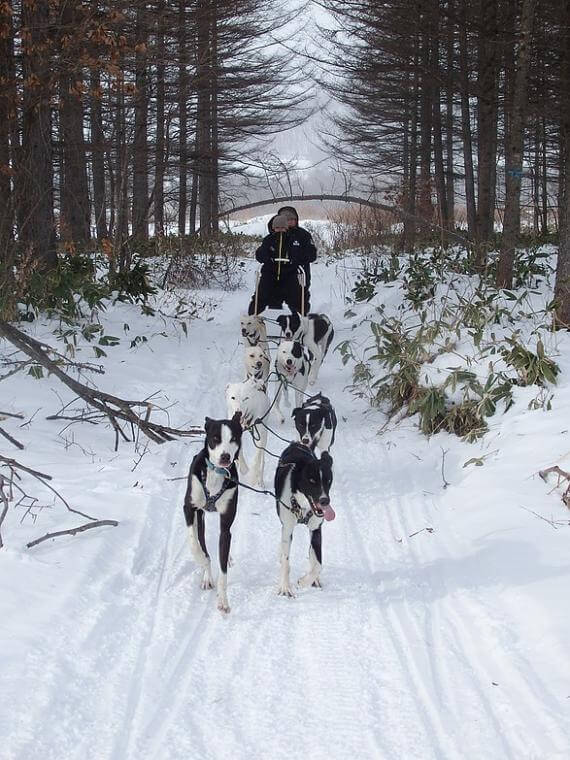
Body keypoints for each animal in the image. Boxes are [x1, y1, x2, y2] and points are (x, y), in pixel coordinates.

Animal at [182, 412, 242, 616]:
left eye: (233, 438)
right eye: (215, 439)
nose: (225, 456)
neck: (215, 474)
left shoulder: (226, 523)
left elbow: (223, 569)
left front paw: (223, 600)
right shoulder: (189, 508)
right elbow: (194, 543)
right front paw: (201, 559)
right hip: (200, 517)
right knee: (200, 540)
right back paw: (206, 574)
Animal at [274, 442, 332, 596]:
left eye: (328, 480)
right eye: (311, 480)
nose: (325, 501)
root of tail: (297, 443)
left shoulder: (316, 529)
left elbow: (318, 563)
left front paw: (306, 581)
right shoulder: (287, 528)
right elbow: (286, 561)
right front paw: (285, 587)